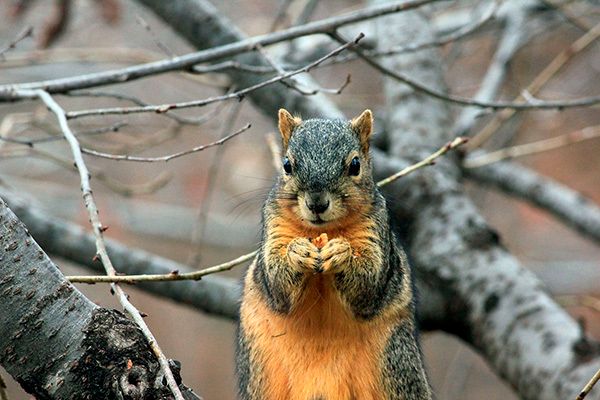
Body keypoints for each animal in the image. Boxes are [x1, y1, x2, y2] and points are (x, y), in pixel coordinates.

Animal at [236, 109, 432, 400]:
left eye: (355, 165)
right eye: (287, 165)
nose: (317, 203)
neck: (322, 231)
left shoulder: (376, 231)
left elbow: (369, 284)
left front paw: (342, 253)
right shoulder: (274, 227)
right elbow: (277, 284)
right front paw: (297, 252)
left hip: (395, 362)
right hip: (259, 370)